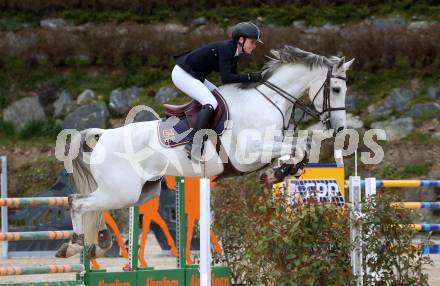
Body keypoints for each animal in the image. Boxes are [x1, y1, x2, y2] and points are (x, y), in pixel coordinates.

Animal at [55, 45, 354, 258]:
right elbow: (296, 147)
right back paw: (76, 244)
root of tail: (104, 135)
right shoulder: (248, 154)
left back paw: (95, 242)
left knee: (89, 204)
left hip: (141, 192)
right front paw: (277, 173)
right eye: (336, 88)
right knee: (78, 202)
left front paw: (281, 172)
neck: (269, 101)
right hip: (121, 191)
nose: (339, 128)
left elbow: (300, 147)